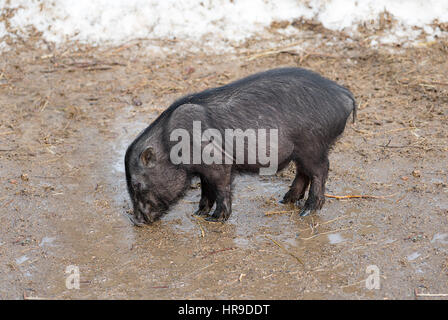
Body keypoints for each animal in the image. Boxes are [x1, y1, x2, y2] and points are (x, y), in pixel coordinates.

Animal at [124, 68, 356, 225]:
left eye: (137, 184)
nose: (136, 221)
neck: (168, 144)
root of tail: (344, 94)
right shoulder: (203, 170)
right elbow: (206, 189)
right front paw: (198, 214)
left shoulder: (217, 162)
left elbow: (220, 188)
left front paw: (214, 219)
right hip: (301, 151)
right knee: (303, 173)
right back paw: (285, 201)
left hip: (313, 145)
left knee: (320, 171)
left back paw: (306, 211)